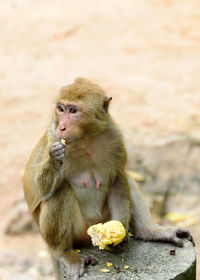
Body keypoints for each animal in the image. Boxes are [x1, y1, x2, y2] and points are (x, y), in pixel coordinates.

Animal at [22, 78, 195, 280]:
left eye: (73, 110)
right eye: (60, 108)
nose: (62, 127)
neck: (85, 139)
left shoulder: (114, 137)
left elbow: (117, 178)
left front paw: (120, 234)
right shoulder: (53, 135)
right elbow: (39, 189)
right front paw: (54, 157)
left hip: (102, 219)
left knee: (126, 178)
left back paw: (148, 232)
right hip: (76, 232)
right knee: (60, 191)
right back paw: (64, 253)